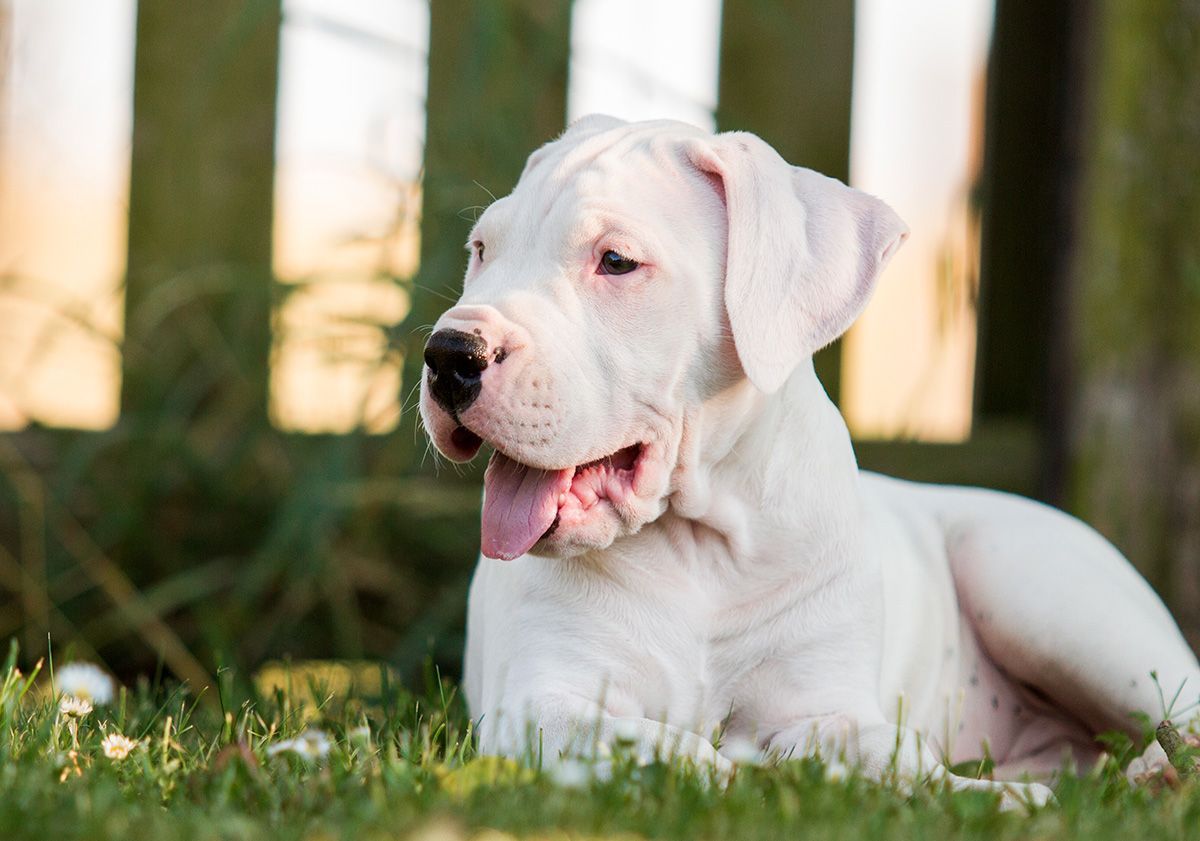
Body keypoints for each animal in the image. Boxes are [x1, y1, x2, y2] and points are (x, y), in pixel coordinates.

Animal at [417, 114, 1195, 801]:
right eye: (482, 249)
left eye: (616, 261)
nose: (449, 355)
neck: (701, 545)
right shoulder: (538, 699)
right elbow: (632, 737)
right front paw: (719, 766)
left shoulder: (829, 691)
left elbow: (876, 742)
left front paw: (983, 799)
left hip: (1042, 587)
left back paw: (1154, 771)